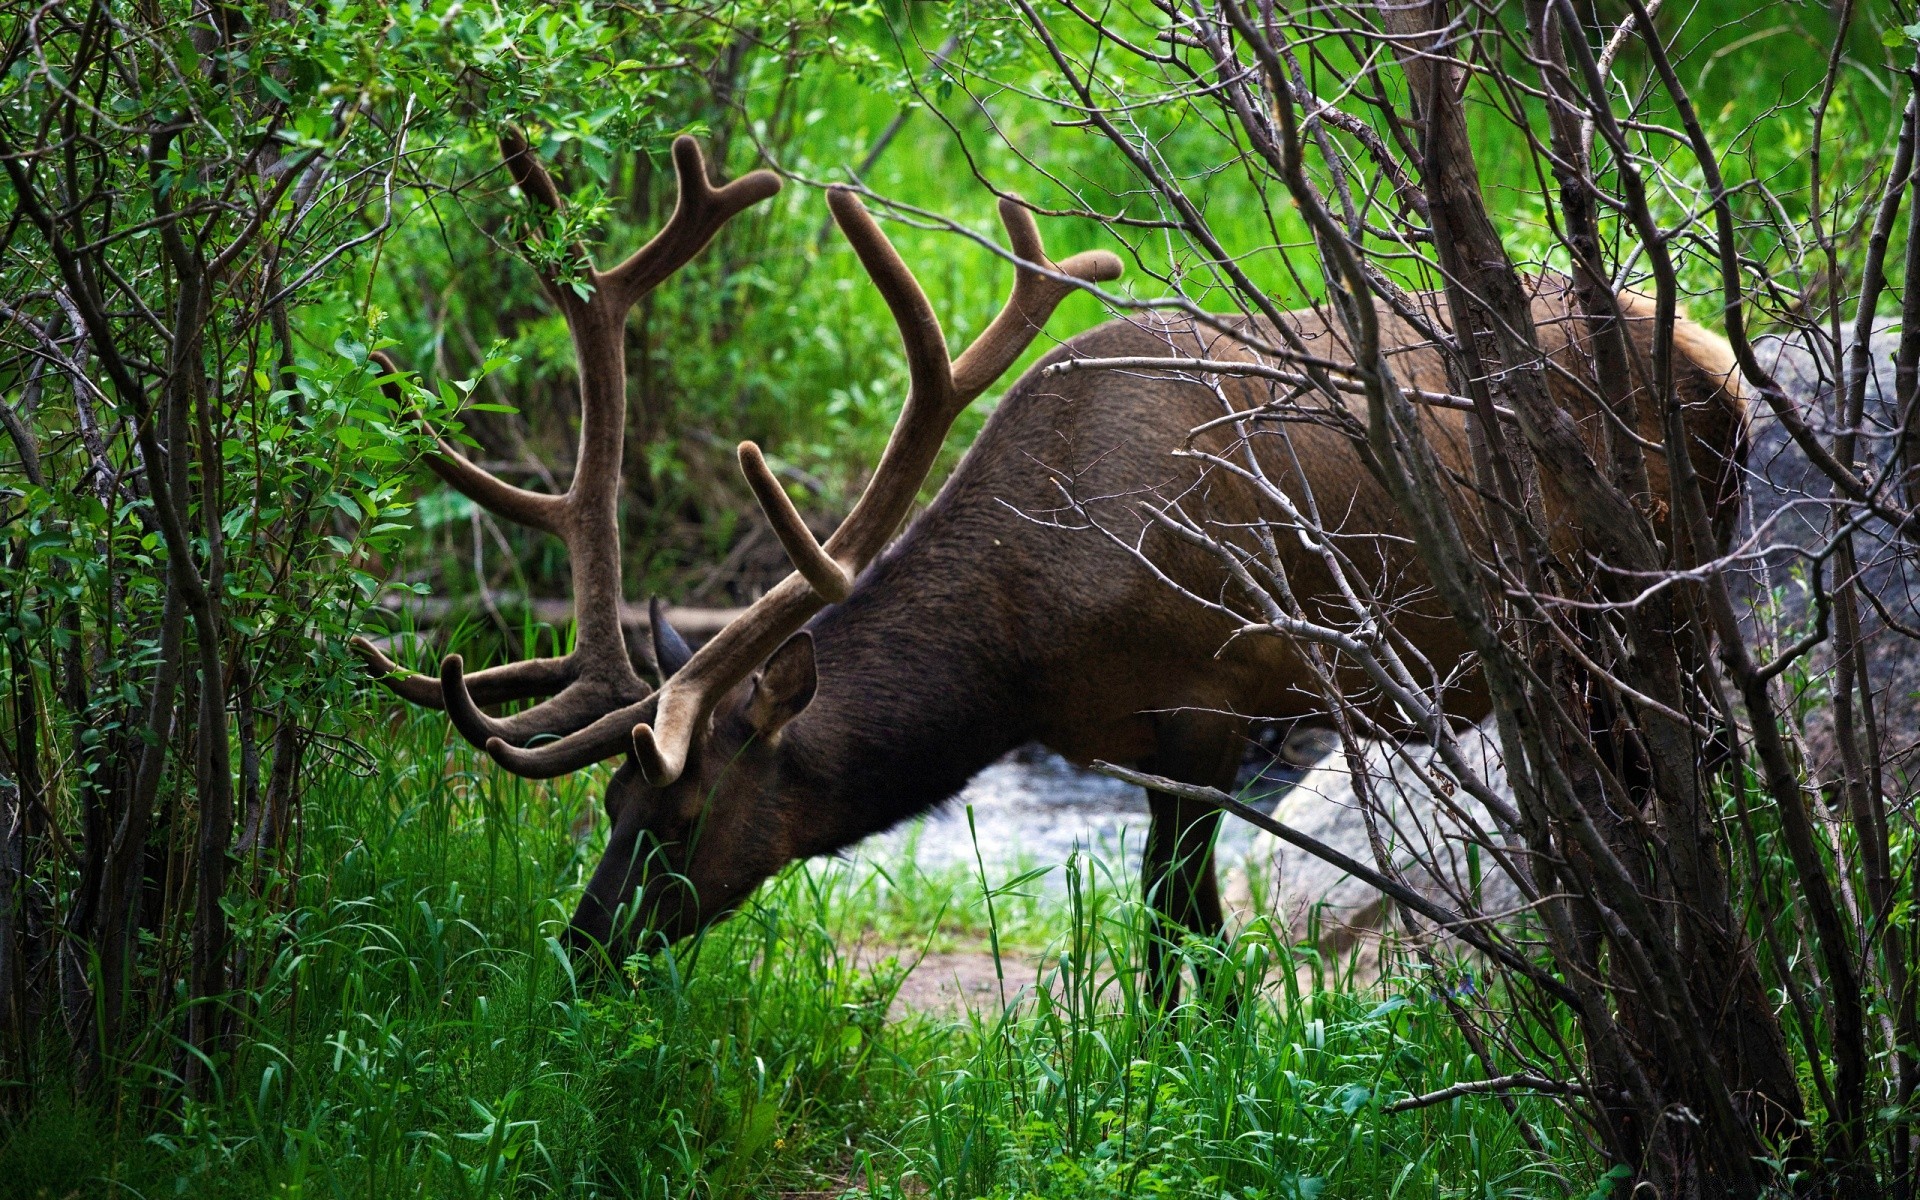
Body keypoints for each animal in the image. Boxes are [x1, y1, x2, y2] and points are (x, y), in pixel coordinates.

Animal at [353, 130, 1751, 998]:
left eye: (683, 815)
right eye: (607, 806)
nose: (580, 953)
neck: (1026, 651)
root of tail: (1718, 360)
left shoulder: (1208, 701)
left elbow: (1180, 933)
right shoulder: (1129, 739)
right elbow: (1167, 928)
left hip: (1654, 605)